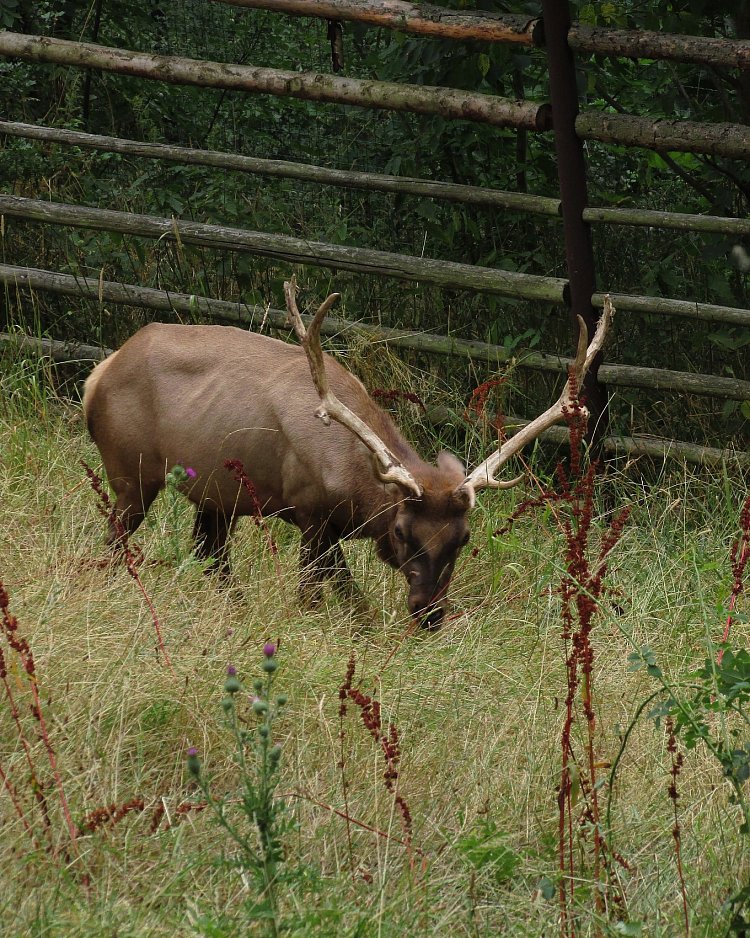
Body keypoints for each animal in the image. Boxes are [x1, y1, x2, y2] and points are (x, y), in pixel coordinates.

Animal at [83, 280, 612, 628]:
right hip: (130, 472)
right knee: (114, 542)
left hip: (217, 495)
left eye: (462, 538)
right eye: (402, 531)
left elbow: (352, 601)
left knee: (211, 556)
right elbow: (320, 595)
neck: (357, 490)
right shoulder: (309, 511)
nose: (428, 613)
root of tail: (96, 376)